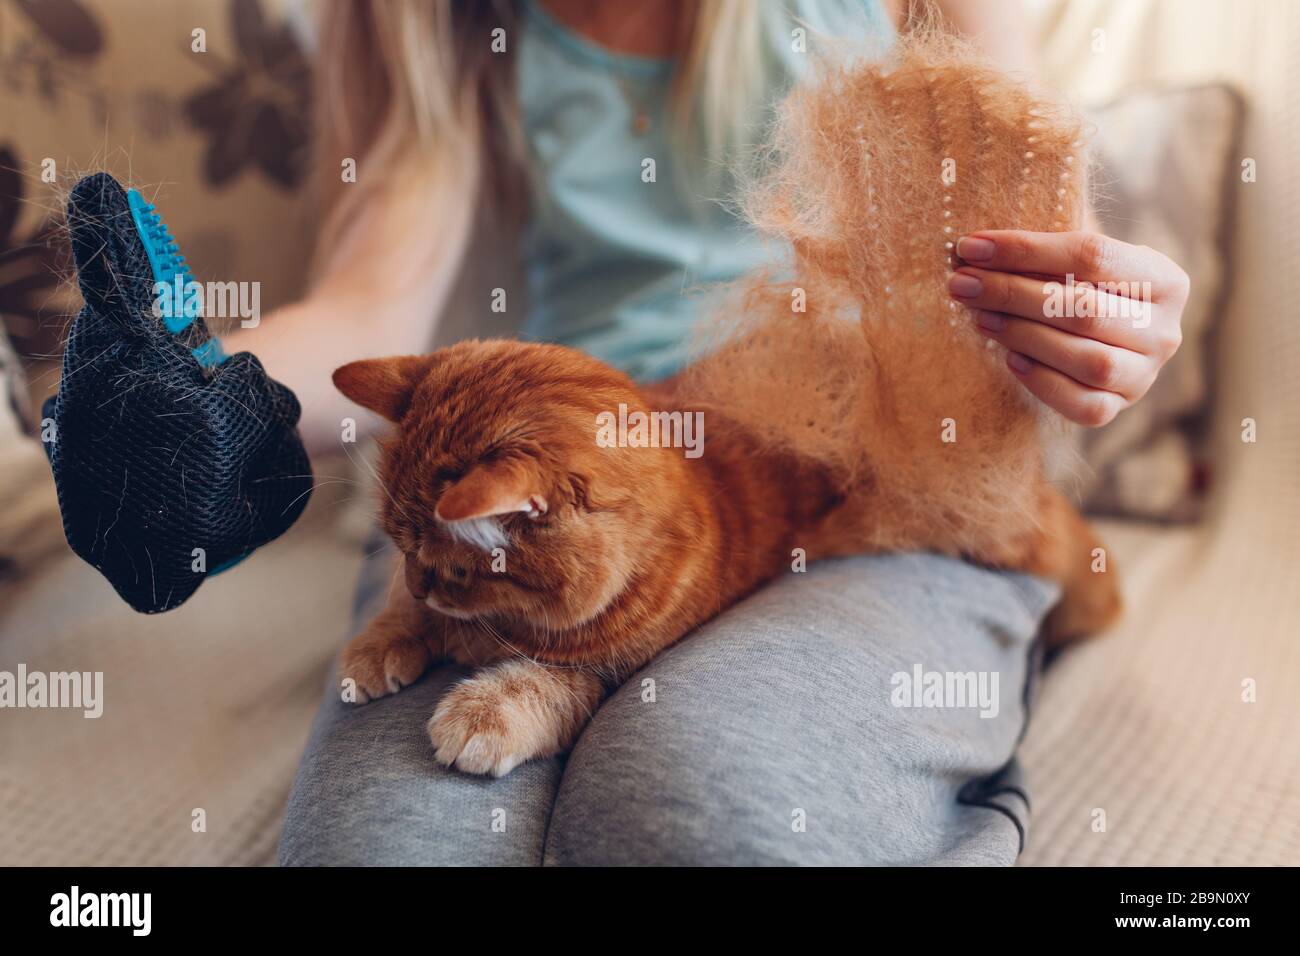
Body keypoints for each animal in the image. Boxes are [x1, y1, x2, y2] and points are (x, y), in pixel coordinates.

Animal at [330, 37, 1123, 780]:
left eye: (458, 571)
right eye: (401, 548)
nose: (423, 584)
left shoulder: (615, 672)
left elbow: (540, 687)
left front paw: (480, 711)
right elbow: (394, 614)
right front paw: (379, 643)